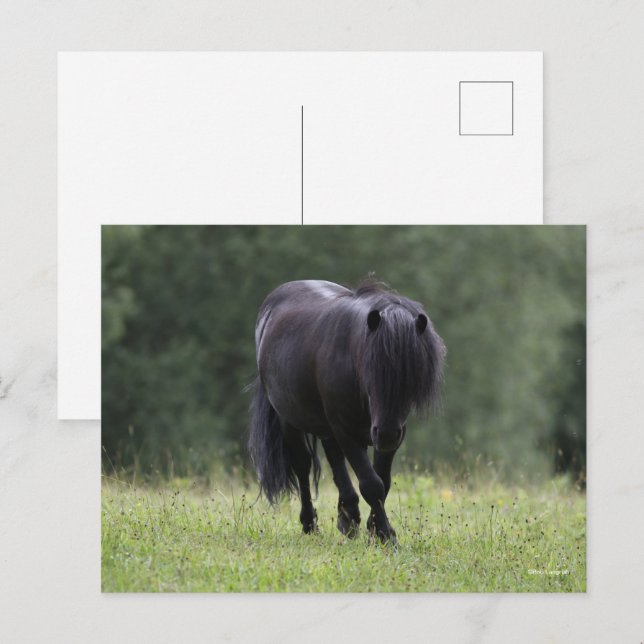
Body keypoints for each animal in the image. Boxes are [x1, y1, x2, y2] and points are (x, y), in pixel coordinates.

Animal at [248, 279, 446, 544]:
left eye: (412, 375)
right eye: (370, 371)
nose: (386, 434)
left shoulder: (390, 435)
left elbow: (383, 480)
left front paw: (374, 528)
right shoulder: (345, 430)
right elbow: (371, 483)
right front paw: (386, 534)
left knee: (335, 460)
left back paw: (348, 517)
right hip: (290, 420)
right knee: (302, 465)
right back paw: (310, 524)